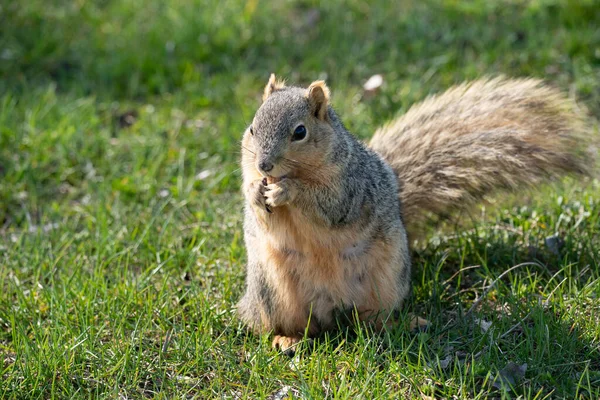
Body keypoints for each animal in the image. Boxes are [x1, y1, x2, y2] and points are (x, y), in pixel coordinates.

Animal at [237, 73, 592, 352]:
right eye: (252, 128)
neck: (295, 172)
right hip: (272, 293)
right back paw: (287, 339)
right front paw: (255, 192)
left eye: (300, 132)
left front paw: (288, 191)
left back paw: (403, 325)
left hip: (387, 281)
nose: (264, 165)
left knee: (373, 320)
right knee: (287, 326)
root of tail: (330, 311)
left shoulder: (352, 185)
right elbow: (261, 214)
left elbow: (331, 205)